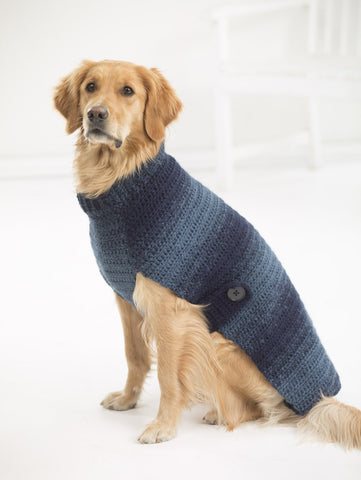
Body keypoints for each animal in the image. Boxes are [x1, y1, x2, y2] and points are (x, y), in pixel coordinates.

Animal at [54, 60, 360, 446]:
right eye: (91, 87)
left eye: (128, 91)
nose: (95, 114)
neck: (125, 178)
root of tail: (317, 401)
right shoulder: (125, 298)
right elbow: (135, 355)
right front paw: (127, 400)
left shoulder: (171, 310)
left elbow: (169, 375)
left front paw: (163, 426)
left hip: (216, 339)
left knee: (262, 410)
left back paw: (218, 412)